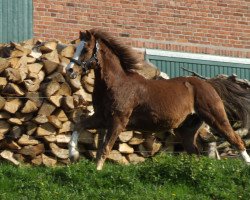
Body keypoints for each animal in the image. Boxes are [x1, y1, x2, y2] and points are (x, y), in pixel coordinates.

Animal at [66, 29, 250, 170]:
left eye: (85, 49)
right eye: (76, 48)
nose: (69, 70)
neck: (116, 83)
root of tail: (208, 83)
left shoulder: (118, 121)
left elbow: (105, 148)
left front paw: (96, 170)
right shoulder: (102, 118)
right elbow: (78, 125)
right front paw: (73, 155)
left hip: (215, 117)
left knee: (236, 139)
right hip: (186, 129)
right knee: (195, 152)